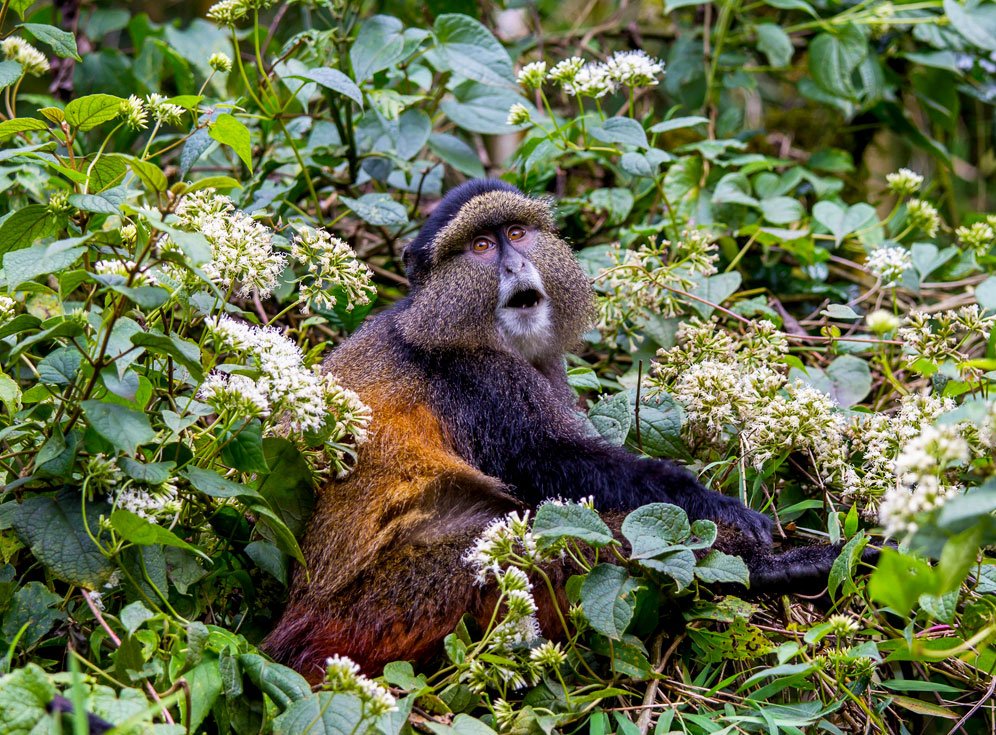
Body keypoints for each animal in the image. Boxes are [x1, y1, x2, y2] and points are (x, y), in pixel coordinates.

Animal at [264, 179, 866, 682]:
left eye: (516, 234)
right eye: (480, 247)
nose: (514, 267)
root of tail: (299, 618)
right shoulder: (481, 379)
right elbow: (549, 461)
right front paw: (718, 507)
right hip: (403, 596)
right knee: (554, 540)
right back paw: (774, 569)